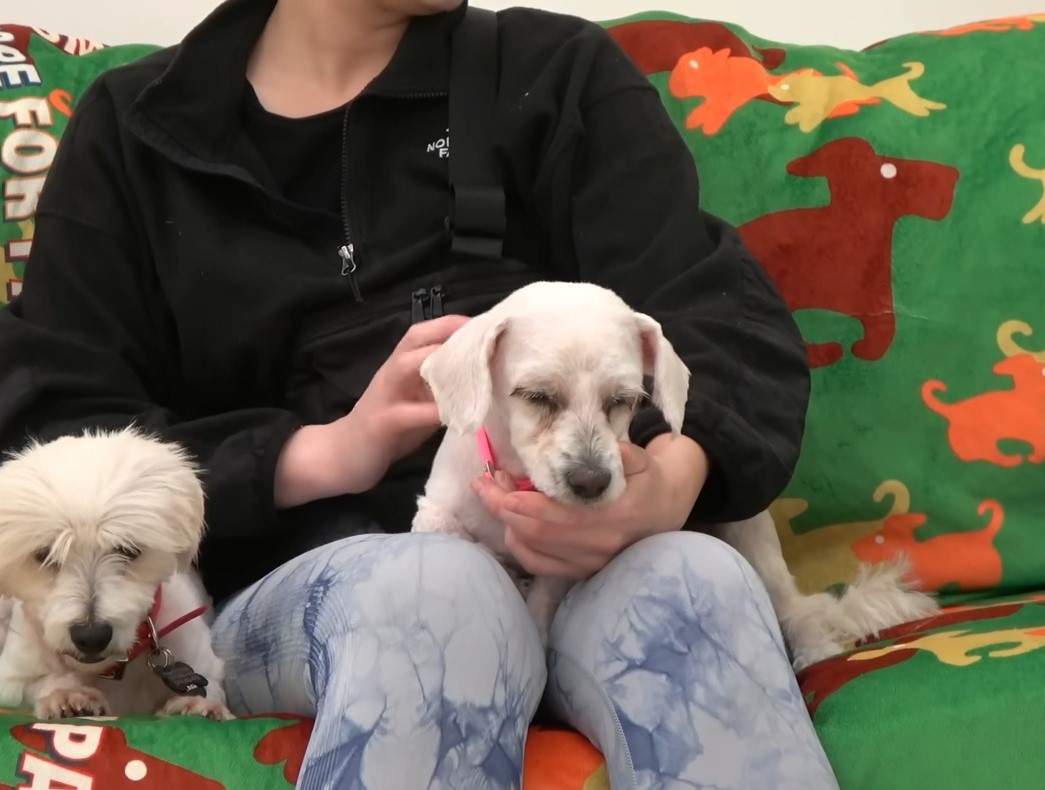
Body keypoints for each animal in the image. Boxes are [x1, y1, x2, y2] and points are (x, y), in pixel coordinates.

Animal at [0, 428, 233, 718]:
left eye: (129, 549)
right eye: (45, 554)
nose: (91, 637)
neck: (115, 667)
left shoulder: (205, 666)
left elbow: (208, 687)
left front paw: (197, 705)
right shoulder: (12, 680)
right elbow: (46, 680)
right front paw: (68, 695)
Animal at [409, 280, 940, 668]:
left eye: (625, 400)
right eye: (535, 396)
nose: (591, 483)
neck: (521, 478)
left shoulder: (560, 564)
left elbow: (540, 607)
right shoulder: (436, 510)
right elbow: (450, 534)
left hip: (753, 540)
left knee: (796, 610)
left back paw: (817, 654)